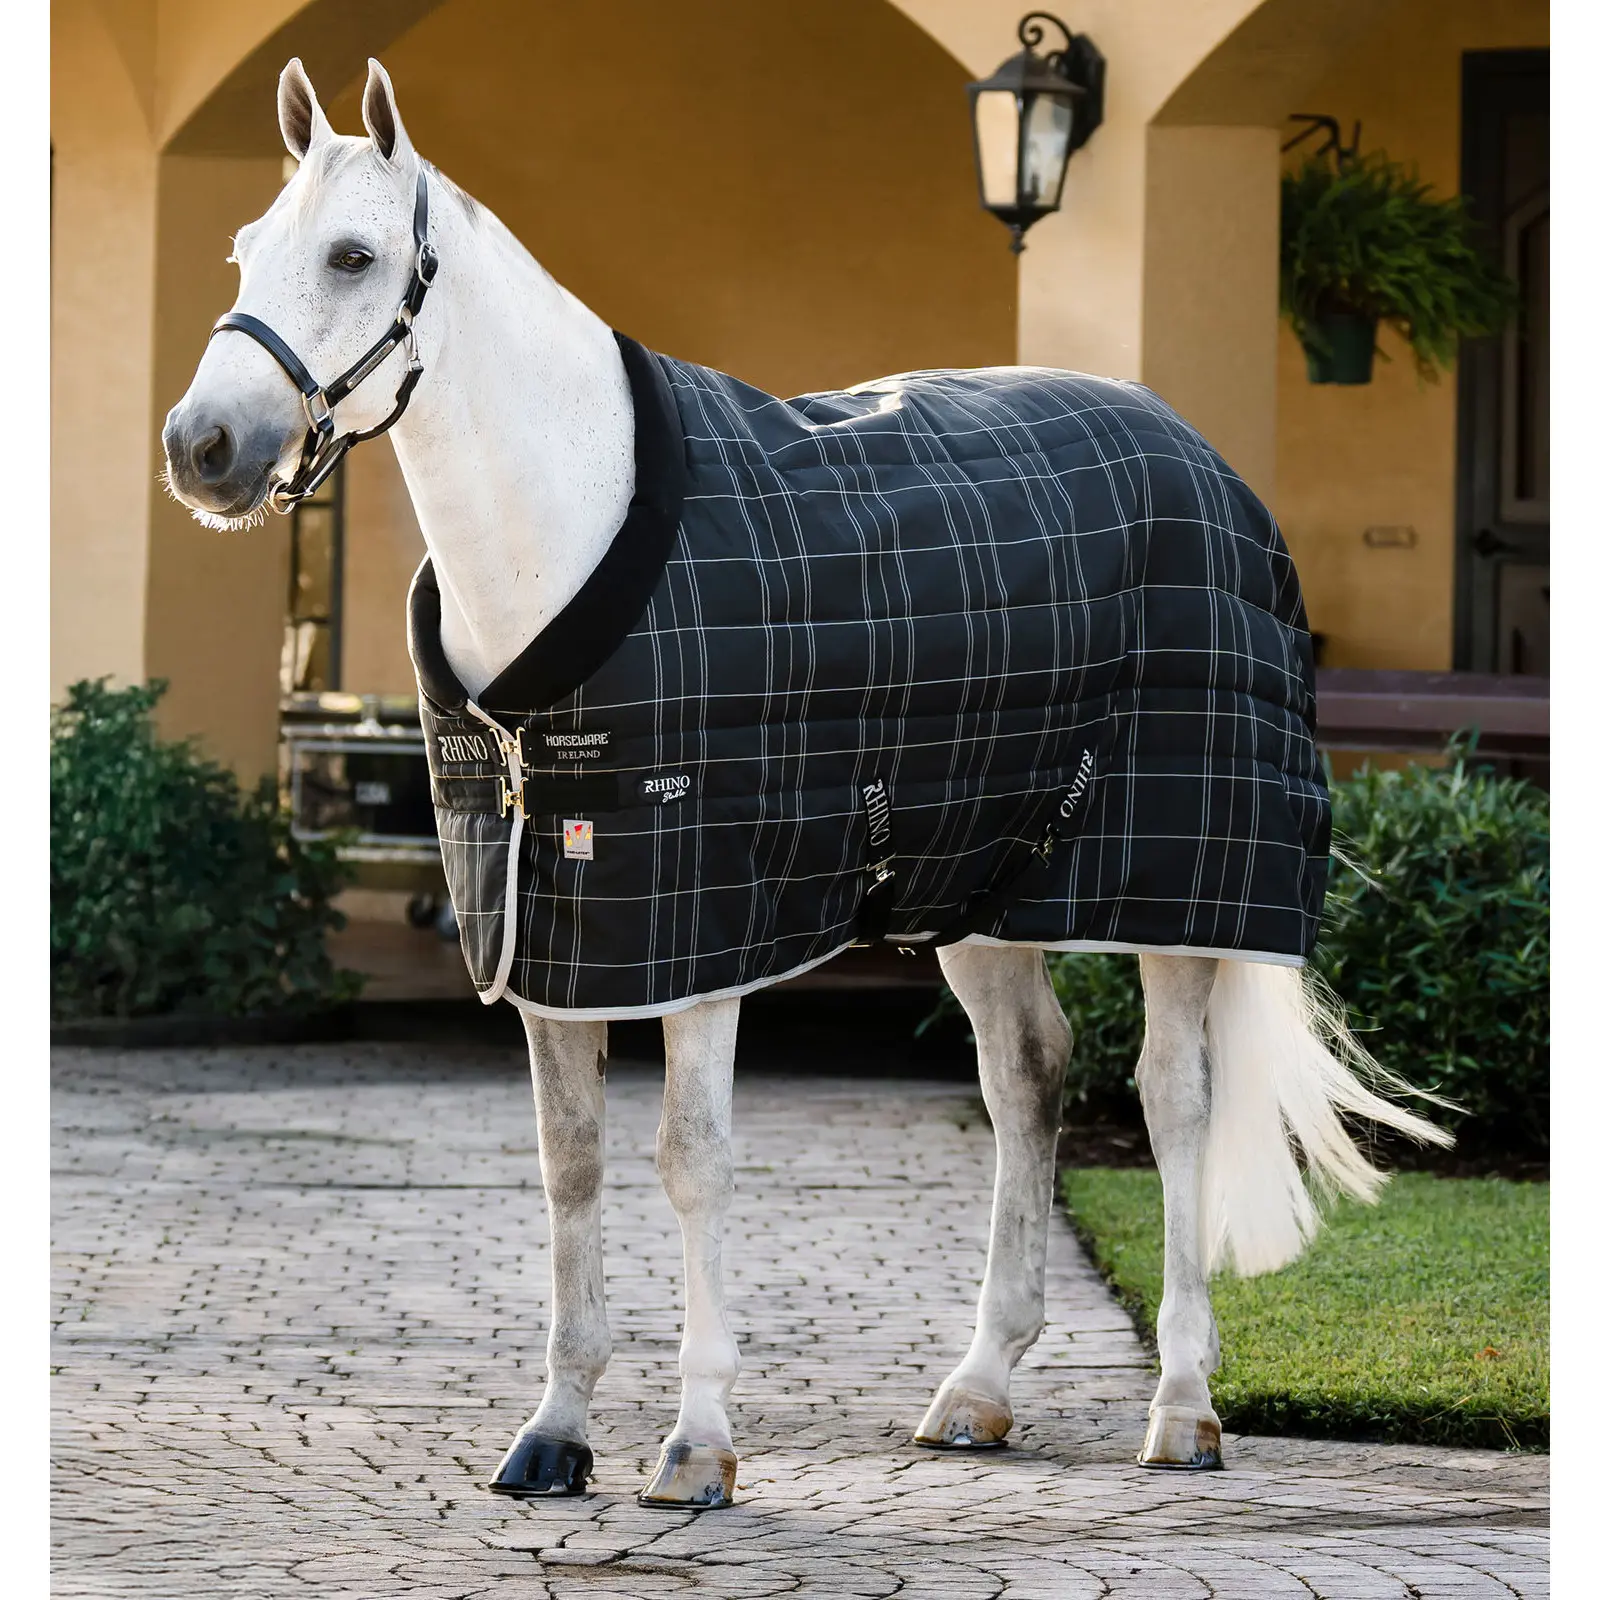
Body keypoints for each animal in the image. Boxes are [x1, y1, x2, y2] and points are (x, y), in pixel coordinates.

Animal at [160, 58, 1447, 1511]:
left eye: (354, 254)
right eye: (244, 249)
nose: (202, 446)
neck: (575, 530)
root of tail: (1202, 456)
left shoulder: (701, 929)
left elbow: (690, 1158)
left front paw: (695, 1444)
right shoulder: (550, 931)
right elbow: (571, 1165)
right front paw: (555, 1430)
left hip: (1176, 893)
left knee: (1173, 1100)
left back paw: (1181, 1405)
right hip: (982, 887)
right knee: (1029, 1079)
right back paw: (978, 1389)